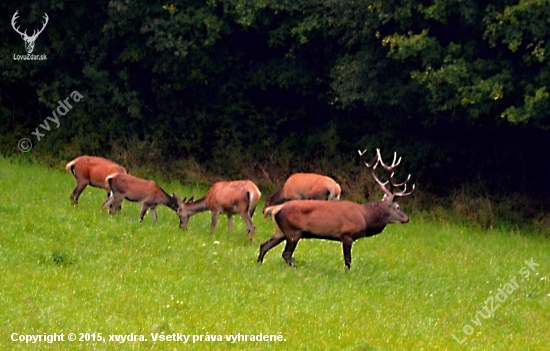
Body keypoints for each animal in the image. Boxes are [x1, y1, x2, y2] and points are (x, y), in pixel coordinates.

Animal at [260, 148, 416, 270]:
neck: (365, 218)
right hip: (294, 231)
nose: (407, 218)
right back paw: (295, 267)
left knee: (264, 246)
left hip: (280, 231)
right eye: (398, 207)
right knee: (286, 253)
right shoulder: (347, 234)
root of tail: (275, 209)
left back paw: (259, 264)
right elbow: (348, 261)